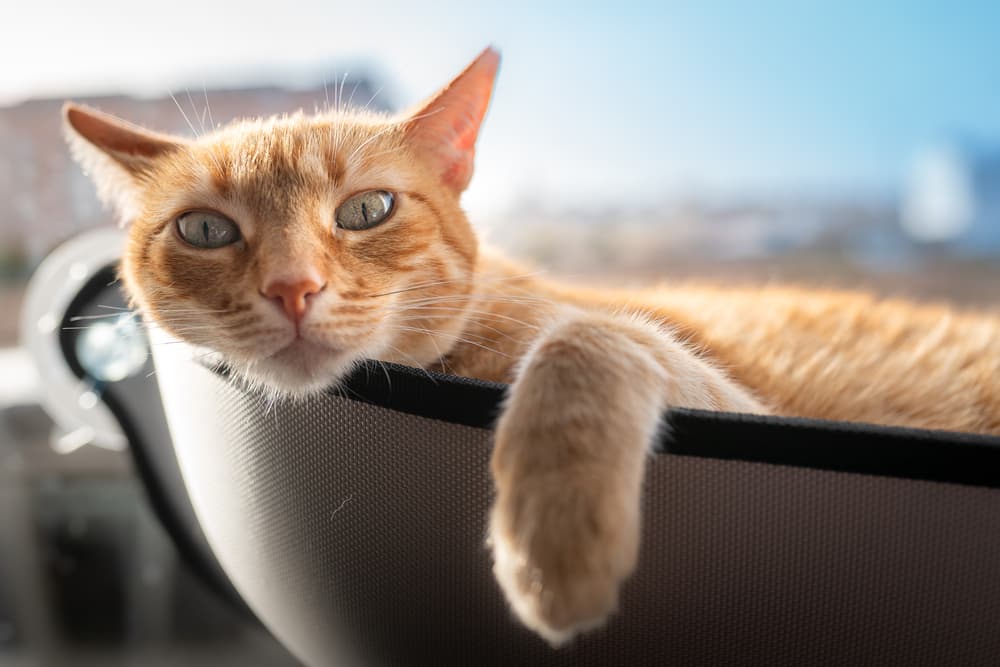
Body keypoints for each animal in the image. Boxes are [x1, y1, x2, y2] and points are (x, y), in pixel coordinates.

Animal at [62, 47, 1000, 648]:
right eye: (205, 229)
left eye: (366, 210)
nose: (293, 287)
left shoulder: (725, 394)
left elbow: (582, 336)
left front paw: (554, 547)